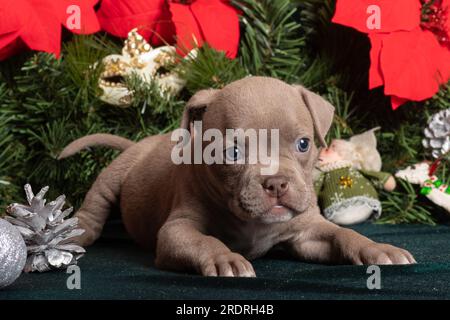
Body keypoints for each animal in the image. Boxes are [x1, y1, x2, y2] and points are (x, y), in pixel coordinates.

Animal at [59, 76, 414, 276]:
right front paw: (224, 258)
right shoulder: (178, 230)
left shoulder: (308, 232)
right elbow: (203, 240)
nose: (276, 183)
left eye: (303, 144)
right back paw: (76, 233)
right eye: (231, 153)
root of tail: (141, 143)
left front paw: (377, 248)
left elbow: (343, 235)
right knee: (96, 205)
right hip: (114, 175)